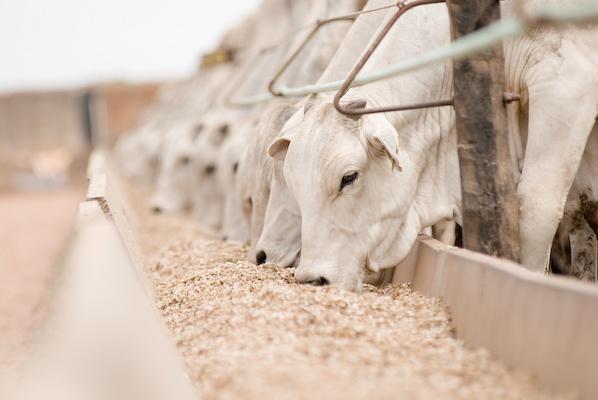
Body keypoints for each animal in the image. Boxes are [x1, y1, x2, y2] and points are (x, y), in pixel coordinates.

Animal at [272, 1, 598, 292]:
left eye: (348, 178)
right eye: (293, 184)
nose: (313, 279)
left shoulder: (566, 83)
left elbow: (536, 208)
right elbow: (586, 206)